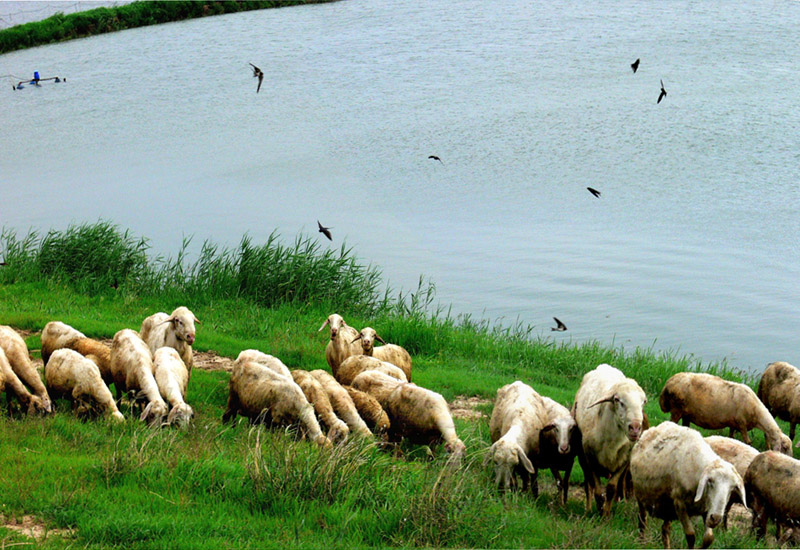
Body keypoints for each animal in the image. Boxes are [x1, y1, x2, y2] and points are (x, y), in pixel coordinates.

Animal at [572, 366, 648, 516]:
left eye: (643, 402)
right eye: (618, 400)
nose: (635, 428)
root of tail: (605, 366)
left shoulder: (624, 462)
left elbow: (612, 488)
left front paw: (605, 515)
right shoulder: (590, 459)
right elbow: (596, 489)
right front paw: (599, 509)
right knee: (588, 484)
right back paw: (588, 509)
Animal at [660, 376, 792, 458]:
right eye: (785, 447)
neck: (757, 413)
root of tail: (668, 383)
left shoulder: (733, 423)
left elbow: (731, 436)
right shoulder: (742, 423)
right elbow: (748, 442)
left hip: (685, 414)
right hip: (676, 410)